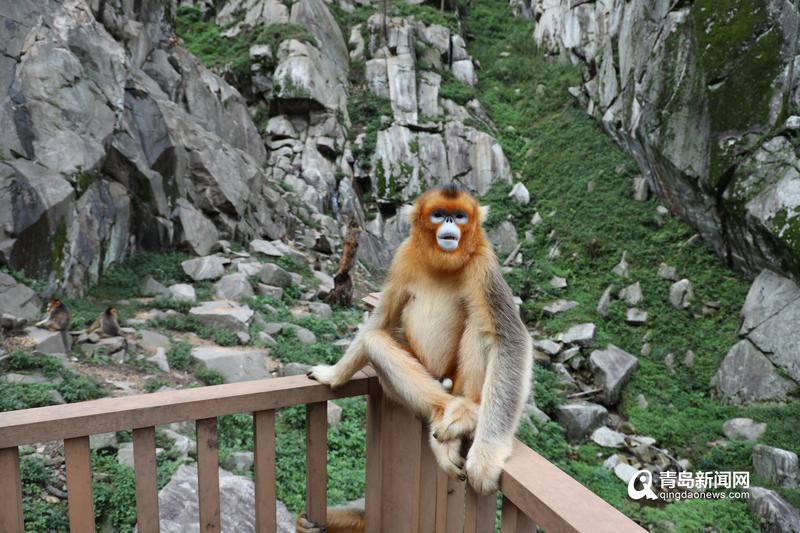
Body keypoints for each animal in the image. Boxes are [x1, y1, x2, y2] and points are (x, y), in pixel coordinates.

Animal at [303, 184, 533, 531]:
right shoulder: (403, 256)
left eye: (460, 216)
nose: (449, 225)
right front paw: (333, 374)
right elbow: (380, 319)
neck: (442, 263)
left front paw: (485, 456)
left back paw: (469, 413)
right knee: (375, 341)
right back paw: (441, 417)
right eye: (439, 214)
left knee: (481, 327)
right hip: (424, 372)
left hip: (458, 377)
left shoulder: (484, 264)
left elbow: (511, 340)